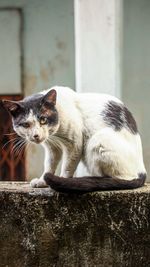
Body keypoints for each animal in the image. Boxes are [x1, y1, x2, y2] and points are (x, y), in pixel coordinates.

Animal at [1, 87, 146, 194]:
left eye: (43, 120)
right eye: (26, 124)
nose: (36, 135)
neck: (55, 134)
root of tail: (142, 171)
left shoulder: (74, 143)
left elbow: (67, 166)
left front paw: (63, 180)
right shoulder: (52, 147)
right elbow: (49, 165)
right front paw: (42, 181)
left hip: (98, 140)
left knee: (120, 178)